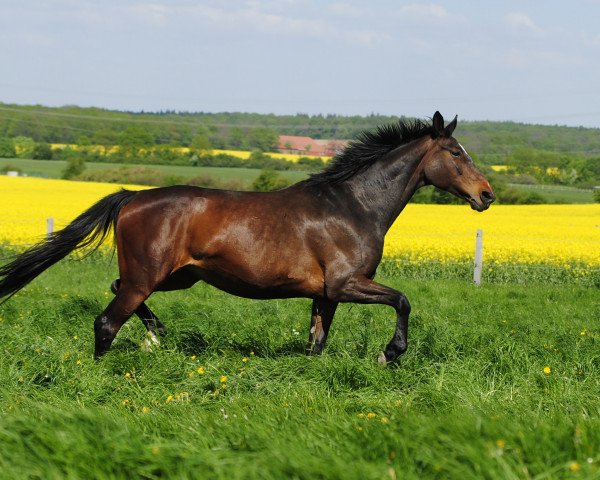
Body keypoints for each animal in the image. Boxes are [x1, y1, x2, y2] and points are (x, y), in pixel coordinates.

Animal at [1, 112, 492, 366]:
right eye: (455, 153)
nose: (486, 195)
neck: (353, 205)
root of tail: (133, 196)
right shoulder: (346, 284)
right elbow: (403, 300)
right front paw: (391, 353)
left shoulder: (325, 294)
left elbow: (316, 342)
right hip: (150, 276)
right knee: (106, 322)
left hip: (177, 276)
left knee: (117, 290)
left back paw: (157, 334)